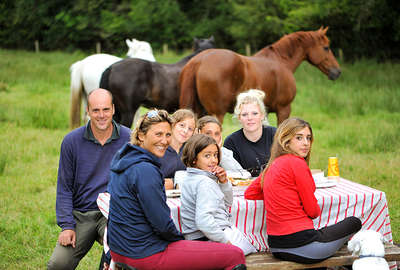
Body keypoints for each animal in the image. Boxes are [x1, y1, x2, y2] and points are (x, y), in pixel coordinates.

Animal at [180, 27, 340, 124]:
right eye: (326, 48)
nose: (337, 72)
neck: (281, 61)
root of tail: (199, 60)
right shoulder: (284, 109)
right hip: (215, 114)